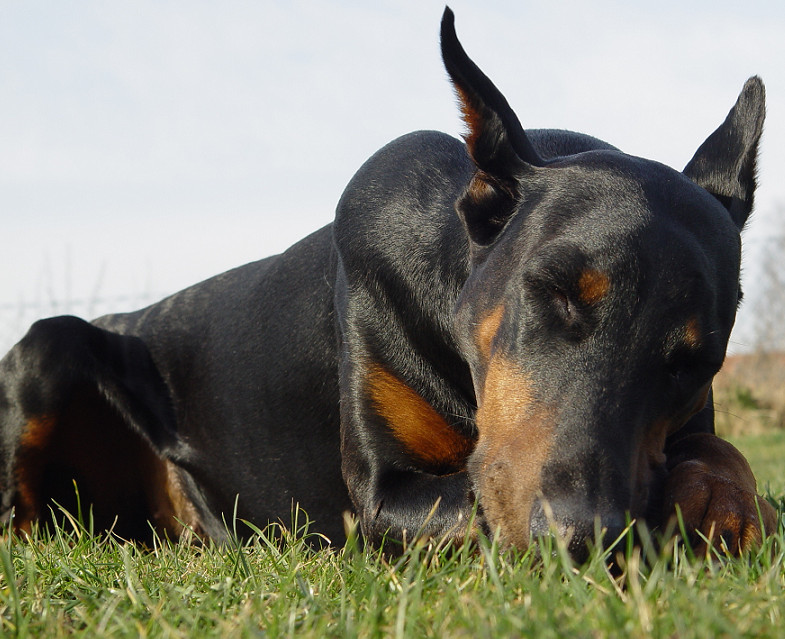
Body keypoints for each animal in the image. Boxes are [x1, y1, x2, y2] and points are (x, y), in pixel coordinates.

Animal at [0, 8, 772, 560]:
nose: (582, 535)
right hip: (46, 348)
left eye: (696, 361)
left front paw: (725, 501)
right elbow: (465, 503)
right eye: (553, 290)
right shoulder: (380, 494)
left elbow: (715, 450)